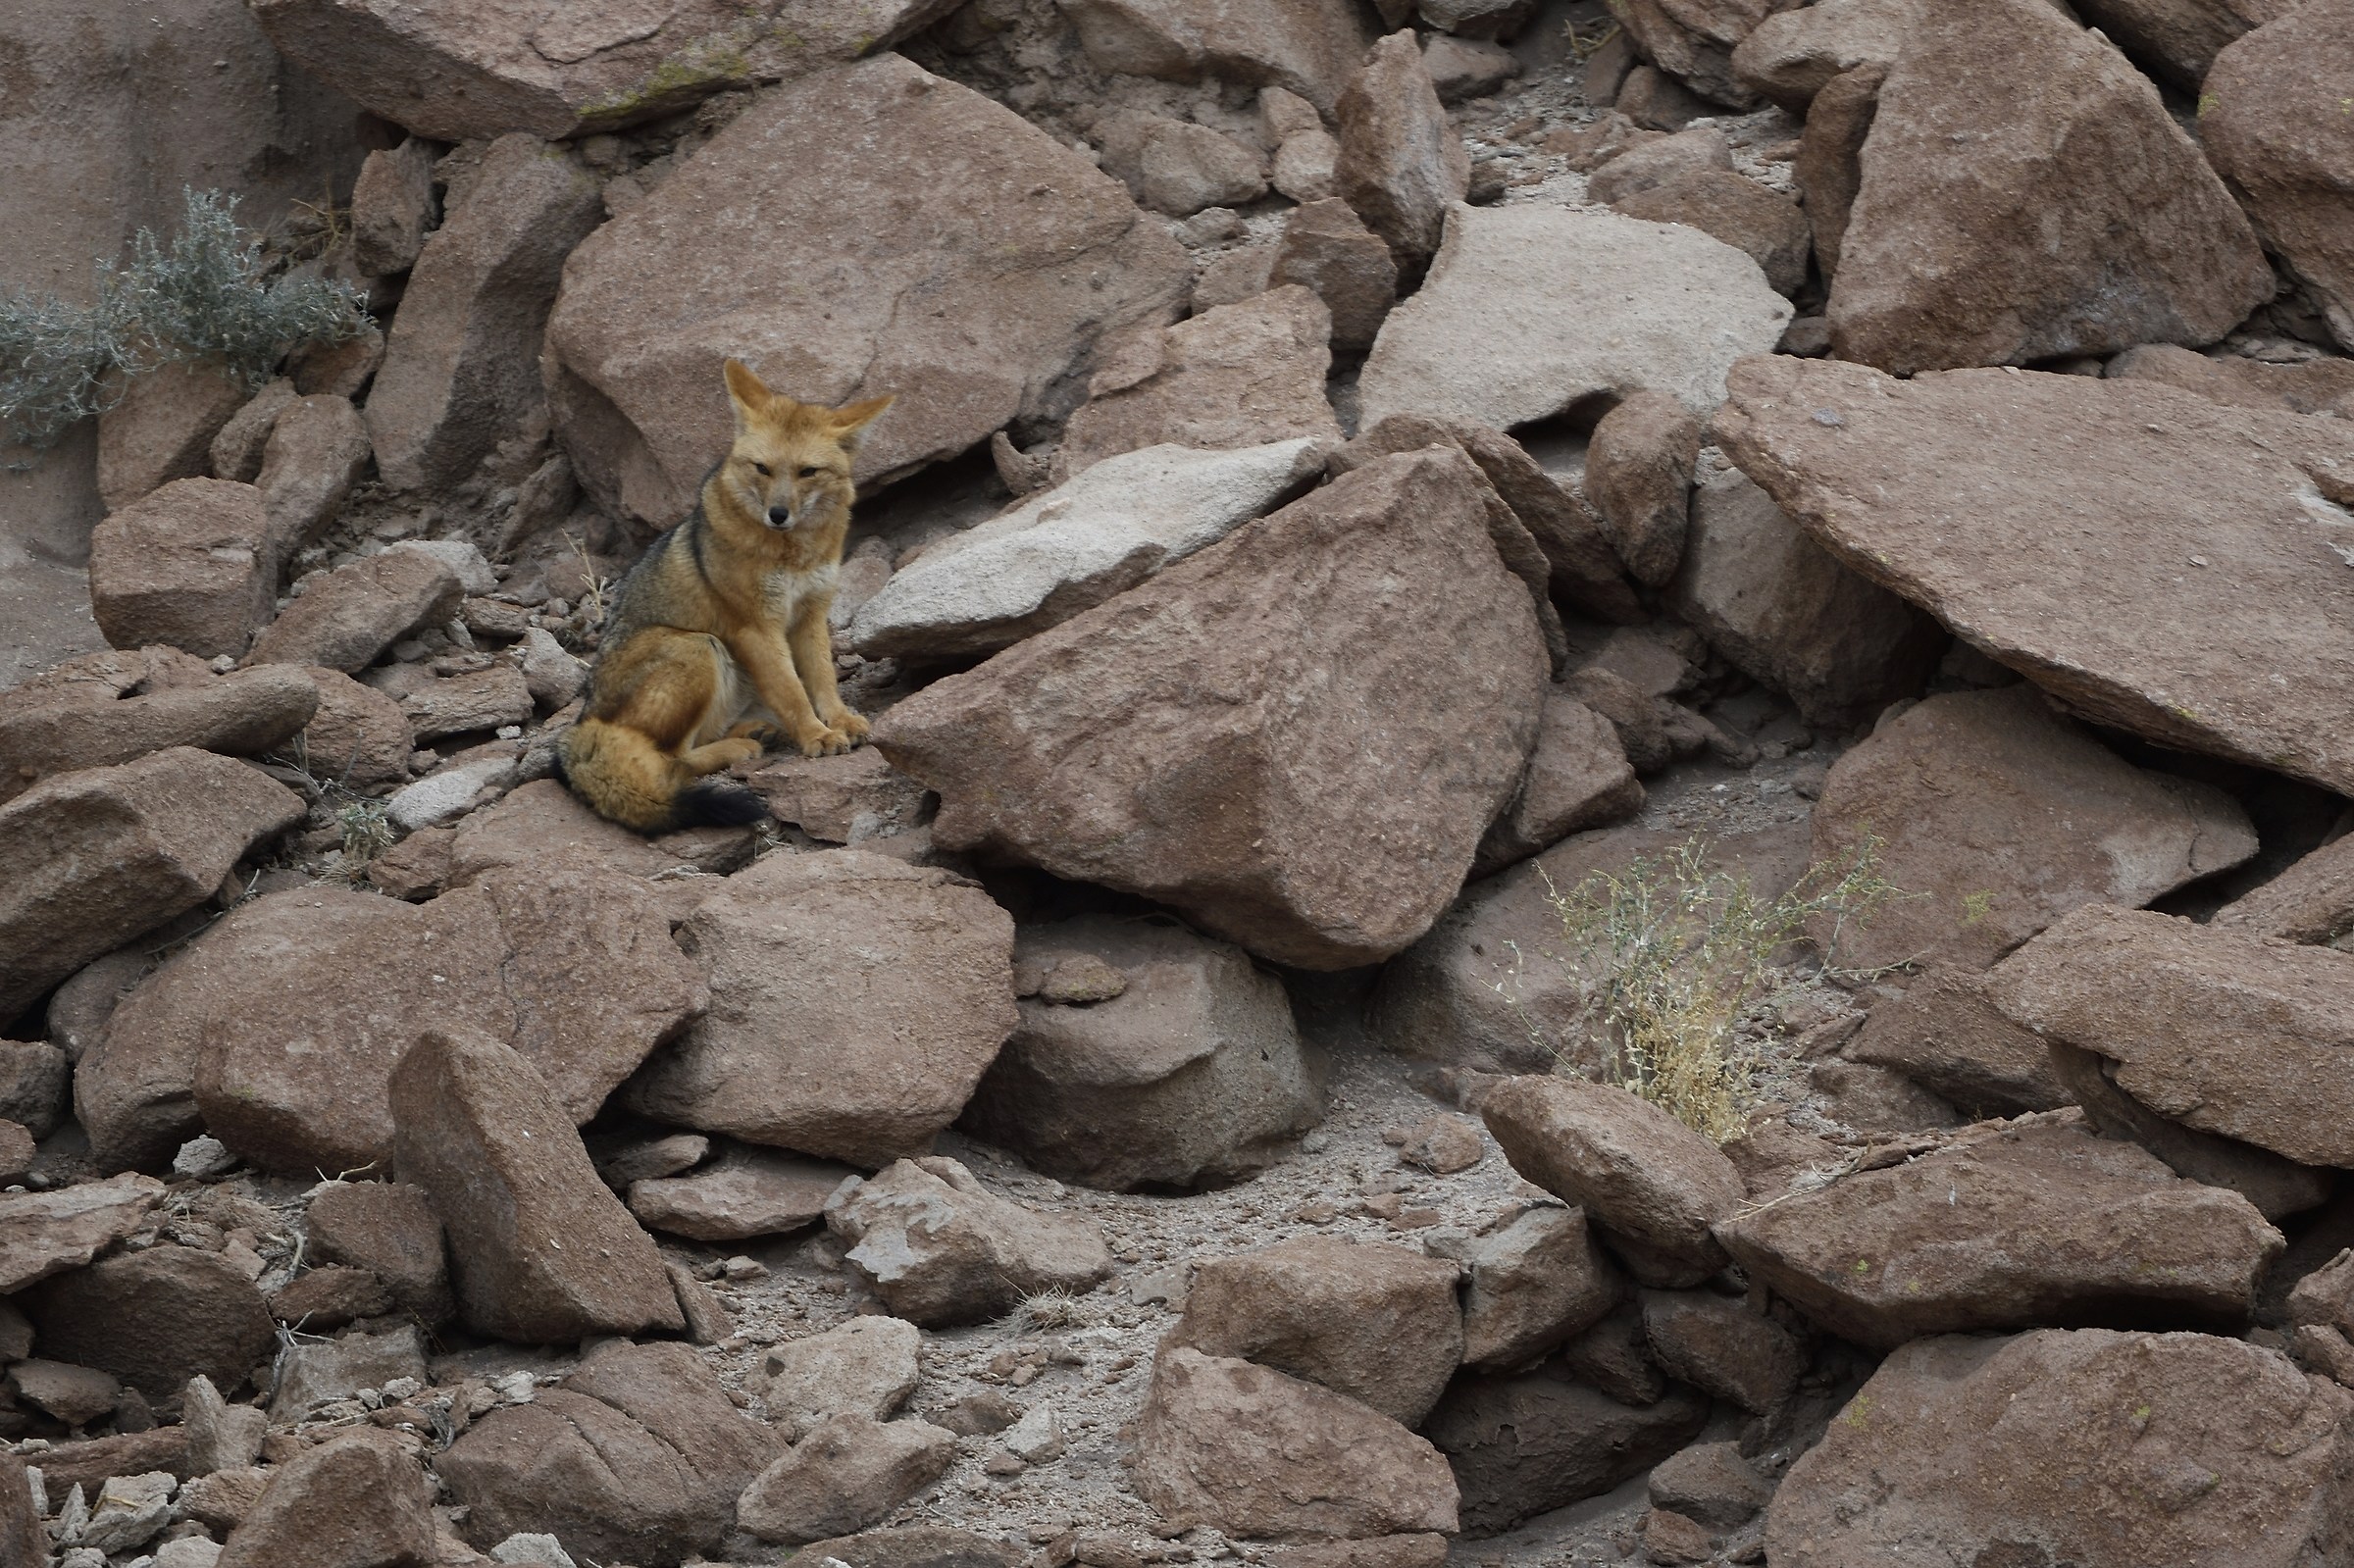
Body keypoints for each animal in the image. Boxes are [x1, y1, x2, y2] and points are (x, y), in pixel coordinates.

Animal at [560, 359, 893, 832]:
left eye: (807, 472)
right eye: (762, 468)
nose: (778, 514)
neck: (793, 555)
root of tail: (585, 722)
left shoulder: (810, 615)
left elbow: (822, 679)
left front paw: (840, 720)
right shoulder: (755, 627)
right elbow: (792, 691)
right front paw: (816, 735)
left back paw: (753, 731)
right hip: (699, 646)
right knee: (673, 759)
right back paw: (739, 748)